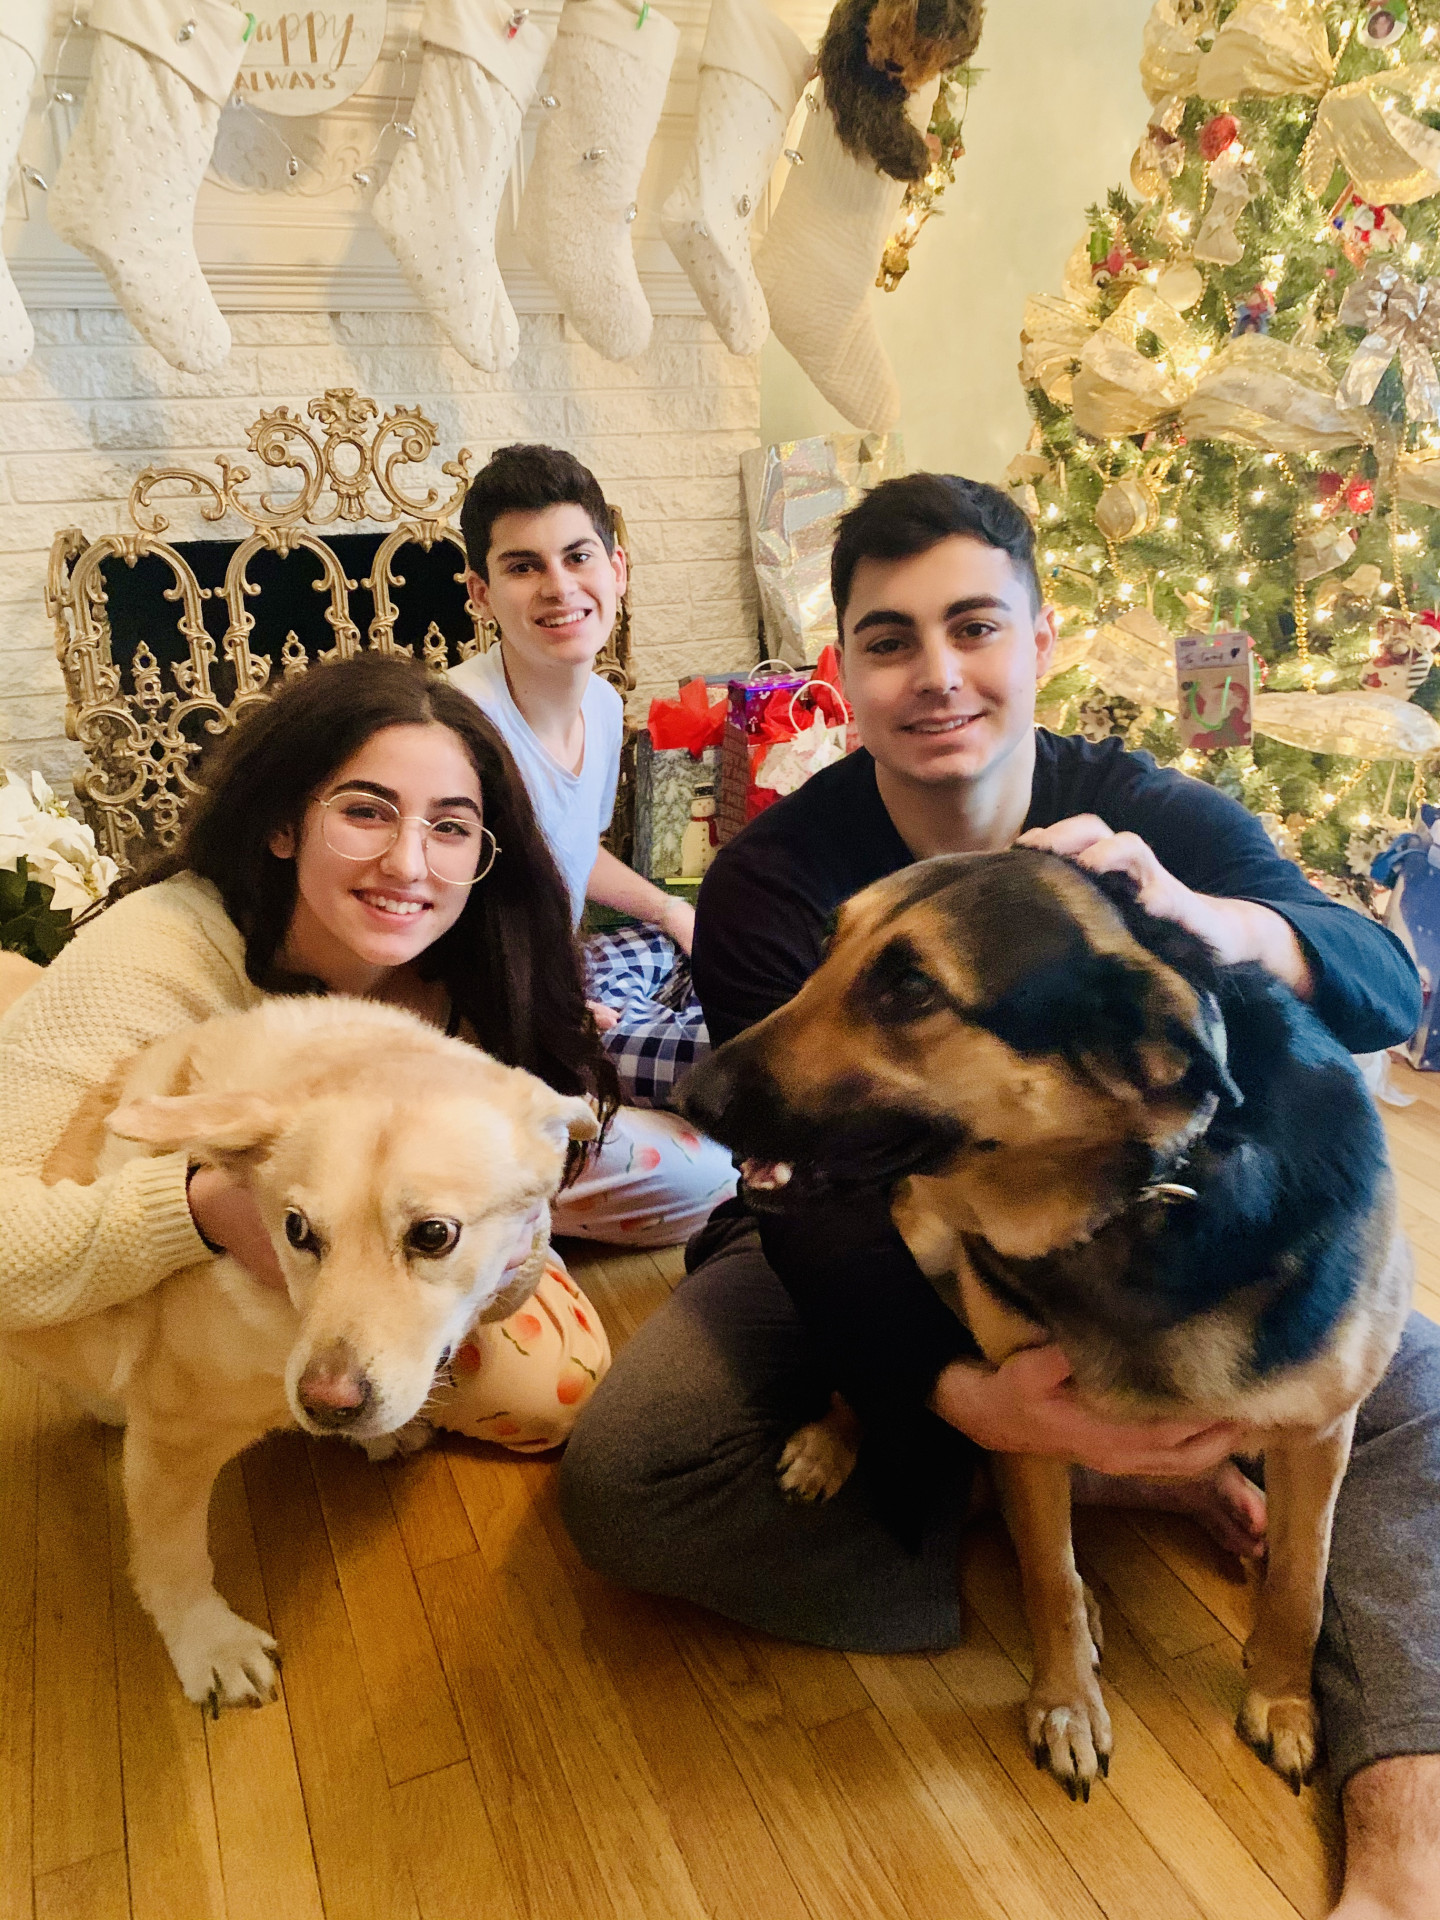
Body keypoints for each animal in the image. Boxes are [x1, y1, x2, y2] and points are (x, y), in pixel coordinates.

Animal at [5, 994, 598, 1714]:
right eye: (296, 1230)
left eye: (434, 1234)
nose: (327, 1406)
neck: (286, 1324)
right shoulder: (170, 1435)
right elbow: (174, 1559)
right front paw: (210, 1645)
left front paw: (373, 1435)